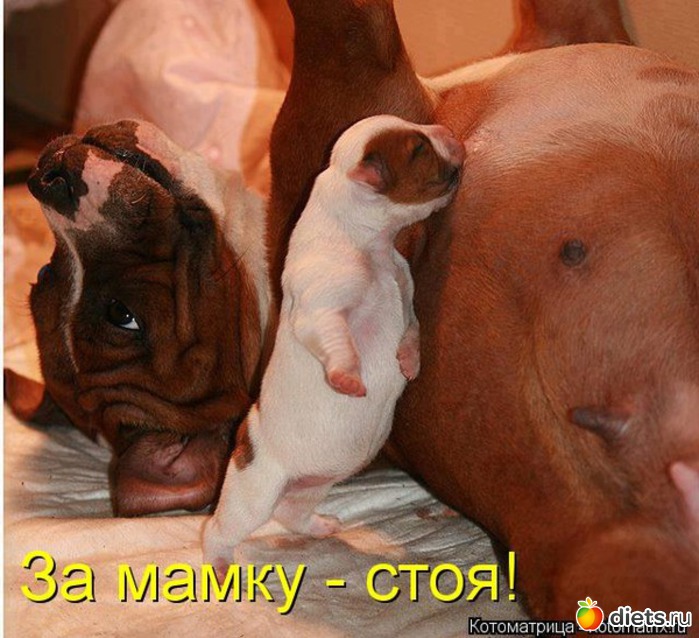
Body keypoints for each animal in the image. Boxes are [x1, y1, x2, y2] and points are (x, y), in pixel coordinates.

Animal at [203, 115, 463, 567]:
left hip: (315, 484)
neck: (370, 246)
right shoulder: (320, 311)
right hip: (253, 494)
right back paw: (218, 563)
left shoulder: (404, 286)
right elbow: (336, 341)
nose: (447, 129)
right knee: (220, 529)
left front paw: (409, 361)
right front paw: (347, 378)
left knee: (291, 512)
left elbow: (412, 324)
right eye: (418, 147)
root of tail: (241, 441)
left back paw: (320, 526)